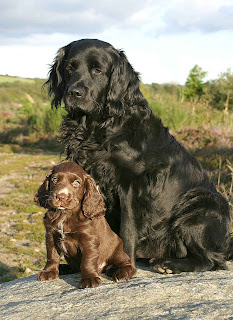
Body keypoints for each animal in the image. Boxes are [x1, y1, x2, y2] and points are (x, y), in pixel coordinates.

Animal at [44, 39, 232, 276]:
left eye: (98, 70)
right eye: (69, 68)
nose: (74, 92)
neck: (101, 126)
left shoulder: (131, 185)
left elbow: (127, 229)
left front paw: (123, 264)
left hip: (201, 207)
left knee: (211, 260)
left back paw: (169, 264)